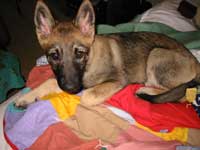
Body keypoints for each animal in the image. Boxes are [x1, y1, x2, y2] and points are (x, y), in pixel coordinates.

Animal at [15, 0, 200, 107]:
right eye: (54, 56)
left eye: (79, 53)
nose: (71, 89)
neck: (89, 62)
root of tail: (196, 62)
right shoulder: (65, 78)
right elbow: (49, 82)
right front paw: (28, 97)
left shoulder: (117, 80)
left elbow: (87, 96)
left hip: (156, 54)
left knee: (181, 94)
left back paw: (146, 90)